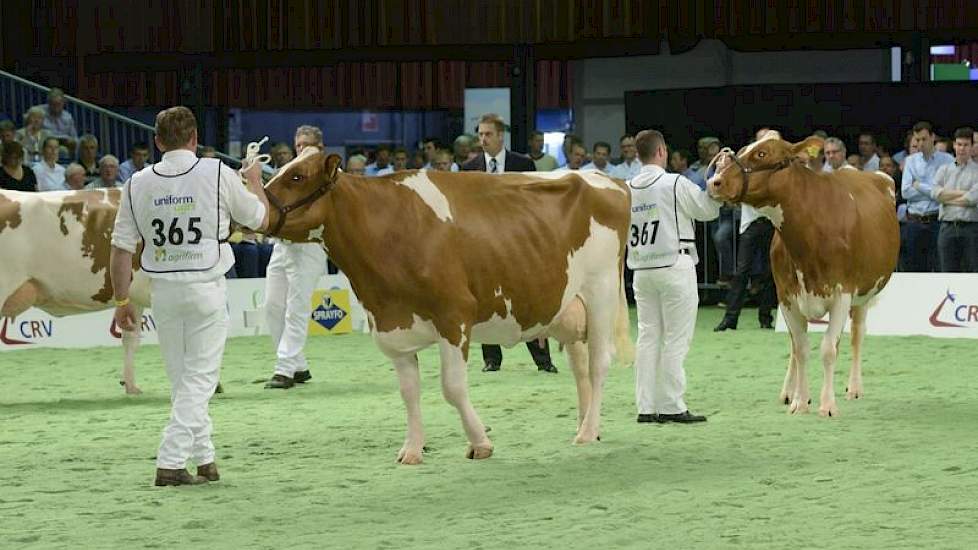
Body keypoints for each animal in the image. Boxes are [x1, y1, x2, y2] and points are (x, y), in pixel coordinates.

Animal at [260, 154, 632, 466]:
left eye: (296, 176)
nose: (258, 205)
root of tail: (608, 180)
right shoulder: (394, 329)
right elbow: (409, 392)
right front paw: (412, 450)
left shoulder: (454, 316)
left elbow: (452, 388)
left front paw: (480, 442)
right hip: (569, 309)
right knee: (580, 368)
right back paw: (587, 424)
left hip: (601, 293)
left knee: (598, 364)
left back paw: (586, 432)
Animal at [704, 134, 896, 418]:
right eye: (742, 149)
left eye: (762, 154)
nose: (714, 182)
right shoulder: (786, 296)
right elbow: (801, 348)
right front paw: (799, 401)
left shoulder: (843, 292)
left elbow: (828, 349)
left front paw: (827, 405)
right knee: (796, 346)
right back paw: (788, 391)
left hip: (864, 293)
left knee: (856, 334)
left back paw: (854, 388)